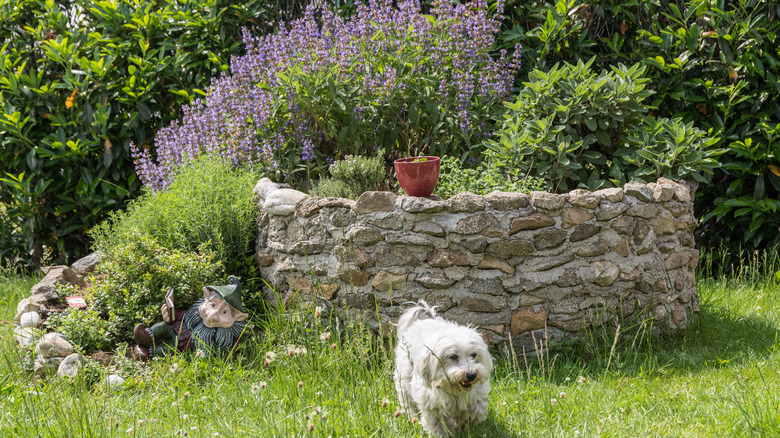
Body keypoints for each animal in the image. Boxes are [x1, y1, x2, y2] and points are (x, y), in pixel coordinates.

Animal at [394, 300, 490, 436]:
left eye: (474, 354)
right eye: (453, 356)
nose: (471, 375)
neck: (453, 390)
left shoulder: (477, 395)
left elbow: (477, 410)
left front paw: (464, 423)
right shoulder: (431, 406)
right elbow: (438, 427)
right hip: (403, 386)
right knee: (409, 405)